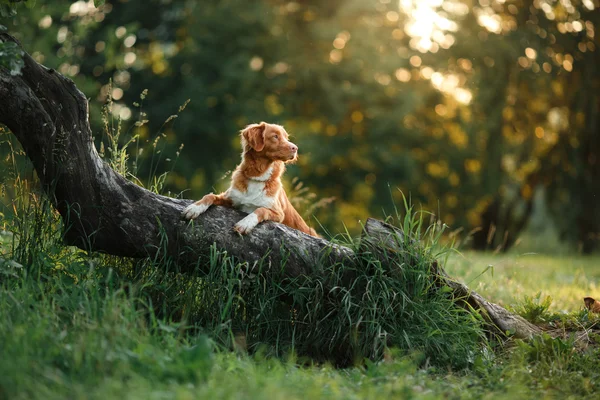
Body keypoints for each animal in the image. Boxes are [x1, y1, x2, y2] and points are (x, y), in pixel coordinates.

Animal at [182, 122, 318, 238]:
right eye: (275, 136)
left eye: (286, 137)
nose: (295, 148)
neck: (257, 177)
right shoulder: (232, 199)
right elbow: (209, 196)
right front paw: (194, 208)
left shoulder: (278, 213)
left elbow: (260, 209)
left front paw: (245, 223)